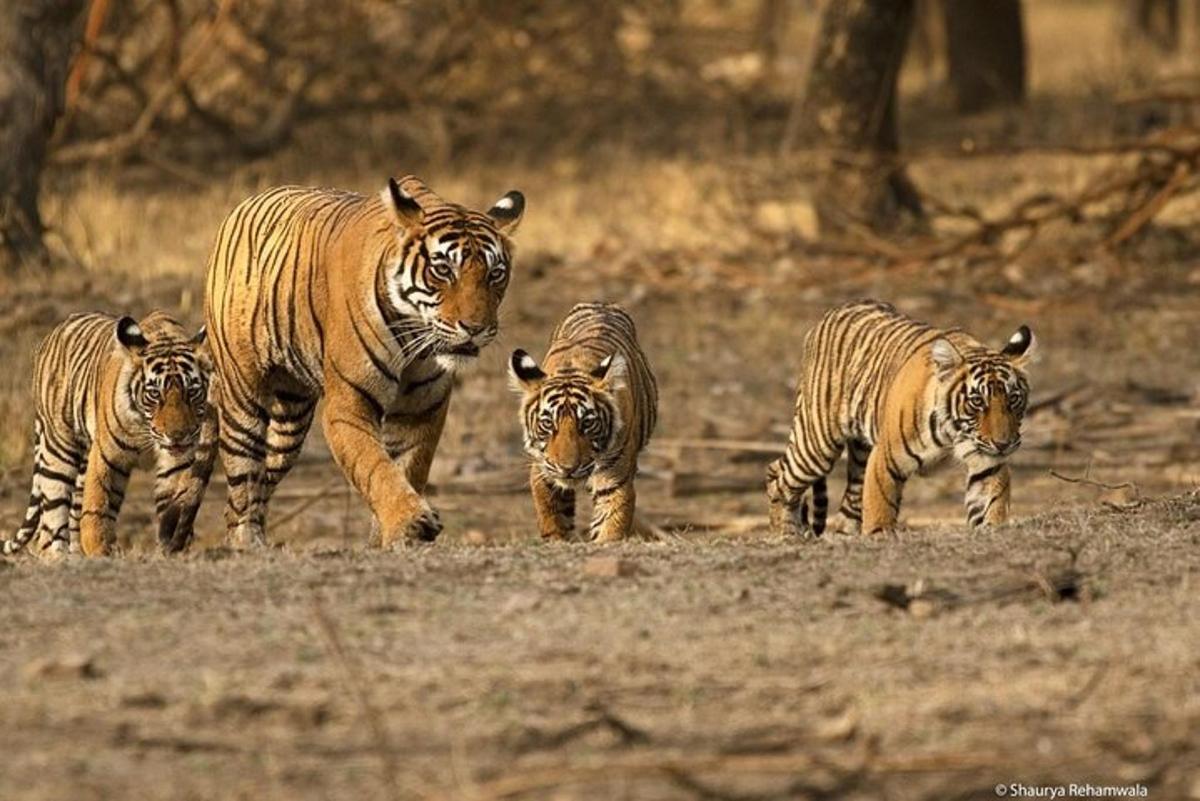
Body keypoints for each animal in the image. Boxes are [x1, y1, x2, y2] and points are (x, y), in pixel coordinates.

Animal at [2, 311, 213, 556]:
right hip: (59, 450)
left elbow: (176, 503)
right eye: (154, 394)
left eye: (192, 392)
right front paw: (99, 548)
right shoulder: (107, 454)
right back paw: (57, 556)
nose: (177, 435)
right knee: (50, 522)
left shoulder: (177, 462)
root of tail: (56, 330)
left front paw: (174, 545)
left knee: (72, 512)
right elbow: (97, 505)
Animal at [204, 176, 523, 546]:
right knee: (243, 476)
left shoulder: (422, 408)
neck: (414, 335)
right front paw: (409, 521)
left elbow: (407, 467)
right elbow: (375, 467)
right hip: (243, 397)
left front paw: (389, 538)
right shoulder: (349, 404)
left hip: (290, 418)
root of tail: (246, 203)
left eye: (495, 274)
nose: (475, 328)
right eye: (443, 270)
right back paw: (246, 542)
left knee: (262, 477)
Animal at [506, 302, 657, 544]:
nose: (567, 469)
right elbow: (551, 515)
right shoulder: (542, 471)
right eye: (547, 424)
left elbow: (611, 523)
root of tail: (601, 304)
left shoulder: (615, 478)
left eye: (587, 423)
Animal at [768, 299, 1032, 537]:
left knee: (847, 508)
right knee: (777, 475)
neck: (954, 432)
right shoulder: (885, 458)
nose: (1004, 444)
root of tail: (830, 313)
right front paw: (880, 535)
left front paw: (993, 528)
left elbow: (992, 500)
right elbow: (880, 505)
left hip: (859, 455)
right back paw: (786, 533)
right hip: (817, 446)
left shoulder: (987, 461)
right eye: (977, 401)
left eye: (1013, 399)